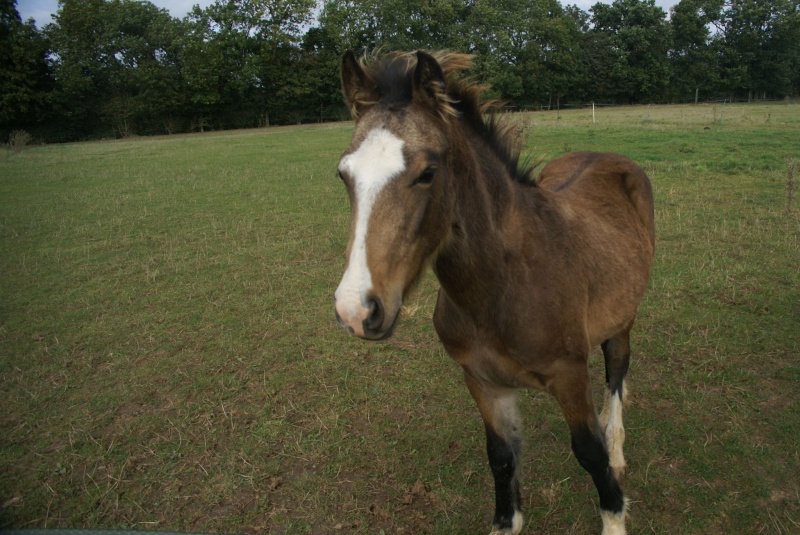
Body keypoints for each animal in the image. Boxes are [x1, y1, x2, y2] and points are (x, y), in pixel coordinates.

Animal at [334, 51, 652, 535]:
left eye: (428, 173)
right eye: (343, 175)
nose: (356, 309)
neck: (502, 287)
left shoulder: (569, 374)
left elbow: (589, 452)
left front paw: (615, 517)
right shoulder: (482, 379)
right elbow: (501, 456)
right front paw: (507, 520)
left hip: (623, 317)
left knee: (616, 371)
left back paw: (617, 447)